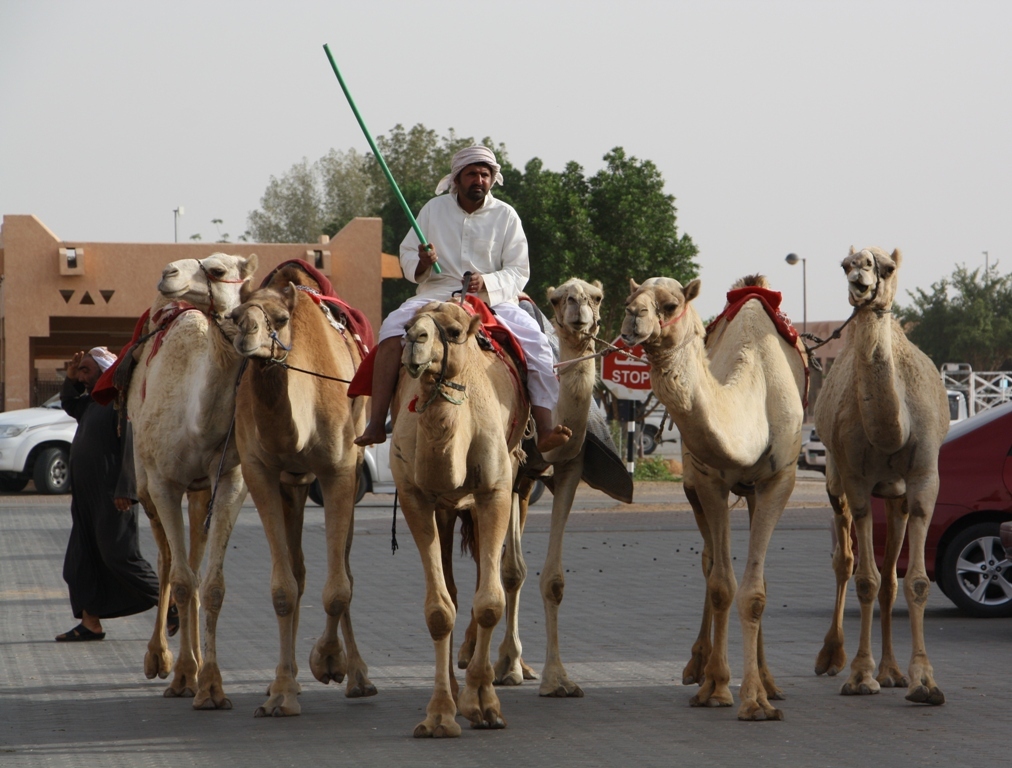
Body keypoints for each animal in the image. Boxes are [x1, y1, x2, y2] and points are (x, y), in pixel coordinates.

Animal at [126, 253, 259, 708]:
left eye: (219, 271)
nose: (169, 274)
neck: (197, 422)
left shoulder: (231, 481)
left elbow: (212, 585)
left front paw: (212, 685)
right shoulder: (164, 484)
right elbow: (181, 581)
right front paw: (182, 675)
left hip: (202, 490)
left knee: (195, 564)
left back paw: (197, 664)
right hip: (144, 481)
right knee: (168, 562)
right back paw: (160, 659)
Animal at [229, 265, 376, 720]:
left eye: (279, 319)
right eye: (235, 316)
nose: (247, 335)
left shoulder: (339, 470)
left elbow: (339, 588)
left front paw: (328, 661)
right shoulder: (260, 471)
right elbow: (283, 589)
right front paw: (280, 692)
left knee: (345, 570)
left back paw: (359, 677)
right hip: (292, 486)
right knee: (298, 572)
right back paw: (286, 678)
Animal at [386, 299, 530, 740]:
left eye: (452, 332)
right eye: (407, 326)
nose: (415, 341)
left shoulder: (495, 491)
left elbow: (489, 602)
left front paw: (483, 704)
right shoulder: (417, 498)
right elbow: (438, 608)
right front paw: (439, 715)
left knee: (493, 572)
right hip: (448, 509)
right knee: (450, 585)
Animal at [615, 273, 805, 716]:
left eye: (670, 304)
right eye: (632, 296)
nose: (633, 318)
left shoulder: (780, 479)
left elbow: (755, 591)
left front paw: (757, 698)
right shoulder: (708, 481)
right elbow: (721, 583)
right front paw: (717, 687)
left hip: (753, 492)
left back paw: (769, 681)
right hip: (693, 489)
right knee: (709, 562)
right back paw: (698, 666)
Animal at [813, 247, 947, 708]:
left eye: (886, 267)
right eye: (845, 264)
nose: (861, 280)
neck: (893, 429)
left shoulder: (923, 480)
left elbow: (916, 582)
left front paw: (924, 681)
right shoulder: (855, 480)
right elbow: (865, 580)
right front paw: (859, 675)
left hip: (896, 495)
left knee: (891, 579)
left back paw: (892, 672)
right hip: (835, 480)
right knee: (844, 562)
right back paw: (832, 657)